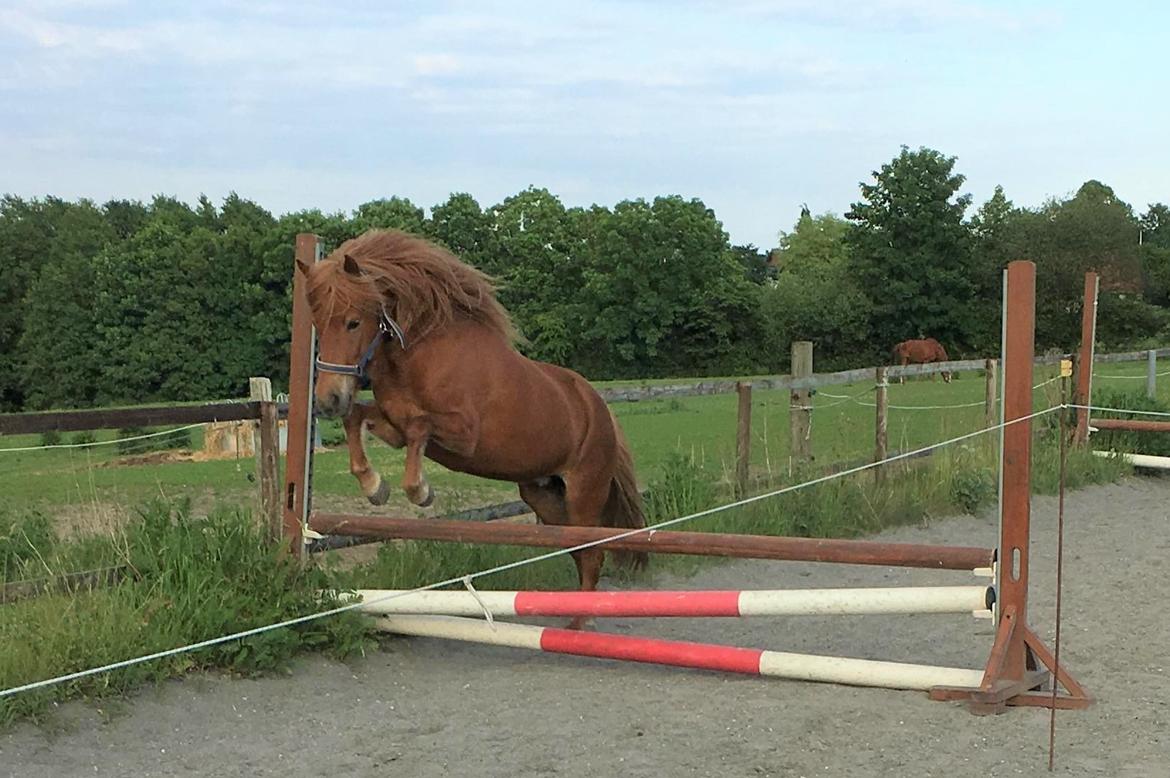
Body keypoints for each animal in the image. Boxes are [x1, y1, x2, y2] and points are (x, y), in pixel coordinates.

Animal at [297, 228, 650, 622]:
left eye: (353, 322)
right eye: (317, 324)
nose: (328, 400)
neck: (422, 355)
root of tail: (602, 411)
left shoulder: (463, 436)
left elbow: (419, 427)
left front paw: (420, 491)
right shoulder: (391, 423)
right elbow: (358, 418)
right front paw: (375, 486)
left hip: (584, 494)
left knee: (592, 553)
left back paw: (577, 623)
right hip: (543, 494)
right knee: (577, 550)